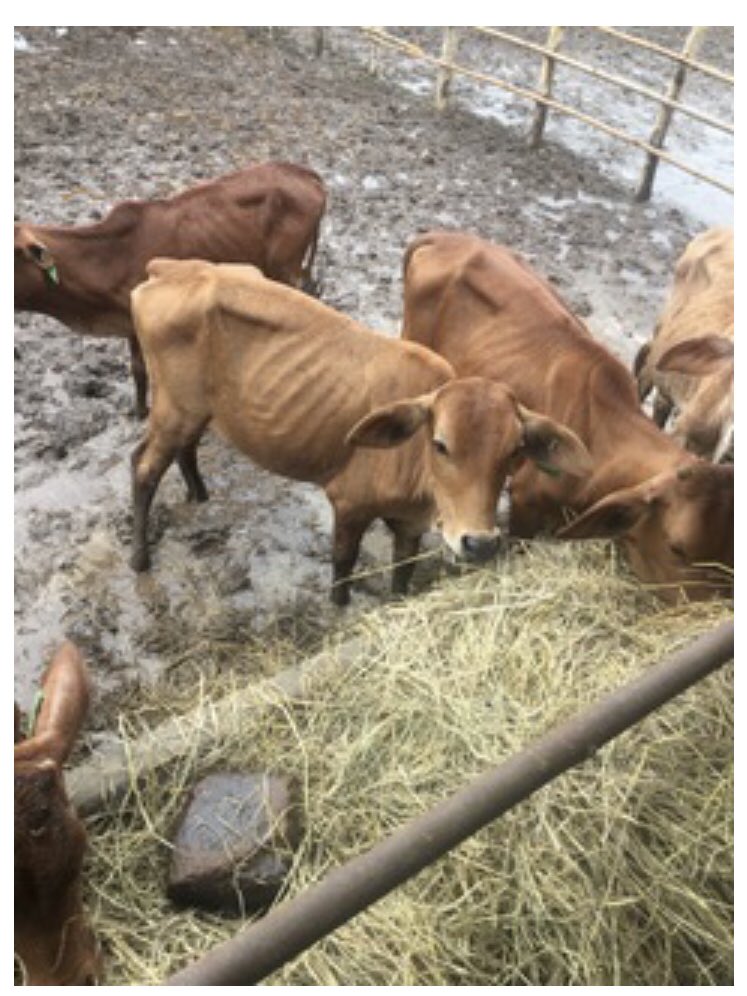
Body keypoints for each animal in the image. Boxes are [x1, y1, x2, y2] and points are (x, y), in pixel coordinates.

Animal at [14, 161, 327, 418]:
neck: (111, 256)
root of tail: (306, 173)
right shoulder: (130, 322)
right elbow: (138, 371)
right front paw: (139, 411)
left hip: (285, 267)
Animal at [129, 258, 592, 605]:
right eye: (440, 444)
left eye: (514, 451)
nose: (479, 544)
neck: (418, 475)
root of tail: (167, 269)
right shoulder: (350, 504)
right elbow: (343, 564)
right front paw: (339, 605)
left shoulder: (410, 523)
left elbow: (403, 572)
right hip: (174, 410)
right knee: (144, 468)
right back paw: (139, 558)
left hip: (195, 412)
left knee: (184, 450)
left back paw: (199, 493)